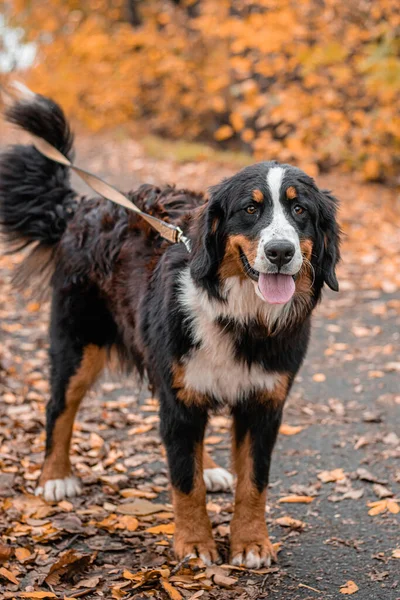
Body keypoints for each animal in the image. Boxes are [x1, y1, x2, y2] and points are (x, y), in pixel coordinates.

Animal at [0, 88, 340, 568]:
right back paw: (55, 477)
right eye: (251, 209)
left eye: (299, 210)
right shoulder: (178, 399)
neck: (241, 317)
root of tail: (83, 205)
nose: (279, 252)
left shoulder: (264, 403)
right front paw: (195, 544)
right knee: (58, 407)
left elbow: (253, 483)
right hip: (79, 343)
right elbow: (184, 481)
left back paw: (212, 468)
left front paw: (252, 543)